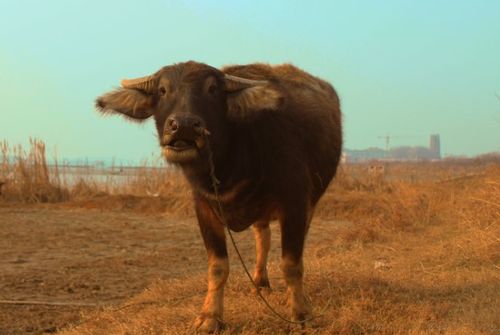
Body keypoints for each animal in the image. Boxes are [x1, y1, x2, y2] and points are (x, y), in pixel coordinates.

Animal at [95, 61, 342, 334]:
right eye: (162, 90)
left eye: (212, 89)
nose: (183, 125)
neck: (232, 160)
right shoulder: (204, 207)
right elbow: (217, 266)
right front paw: (210, 317)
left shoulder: (295, 204)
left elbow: (291, 263)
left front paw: (301, 314)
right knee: (263, 237)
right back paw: (259, 282)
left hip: (312, 202)